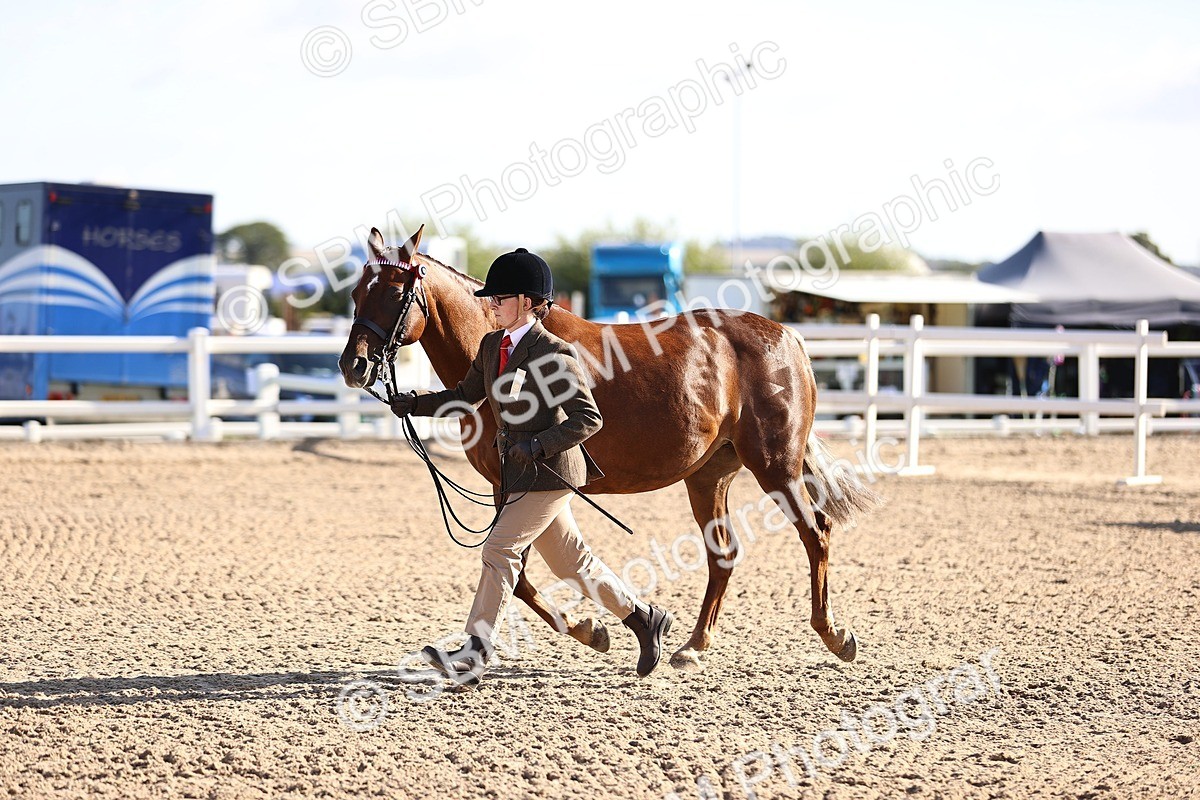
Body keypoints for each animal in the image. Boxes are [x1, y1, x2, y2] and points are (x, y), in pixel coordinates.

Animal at [339, 226, 881, 668]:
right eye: (357, 292)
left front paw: (589, 630)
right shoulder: (515, 484)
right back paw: (691, 646)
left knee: (816, 535)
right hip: (709, 475)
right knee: (723, 554)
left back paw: (835, 636)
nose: (353, 366)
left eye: (394, 293)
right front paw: (592, 629)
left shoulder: (517, 482)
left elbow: (519, 572)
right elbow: (527, 573)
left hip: (776, 467)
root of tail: (788, 336)